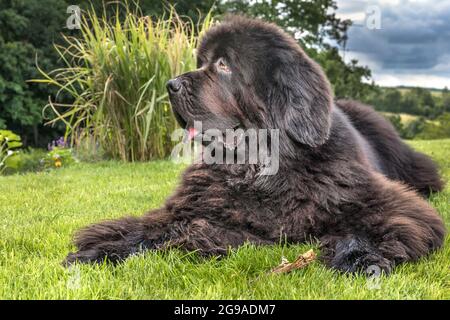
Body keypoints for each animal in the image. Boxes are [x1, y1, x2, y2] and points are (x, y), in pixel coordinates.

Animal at [64, 15, 446, 276]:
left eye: (223, 65)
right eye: (202, 62)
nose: (170, 84)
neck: (259, 167)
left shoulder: (379, 200)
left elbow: (378, 224)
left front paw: (360, 258)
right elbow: (152, 227)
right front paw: (100, 250)